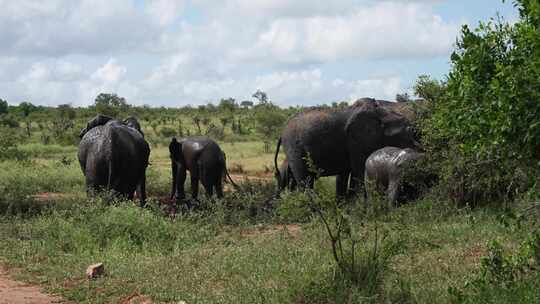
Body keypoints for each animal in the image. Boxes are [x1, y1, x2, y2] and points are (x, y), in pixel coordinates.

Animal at [274, 101, 422, 197]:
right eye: (408, 132)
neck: (384, 114)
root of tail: (281, 133)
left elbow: (344, 174)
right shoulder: (357, 140)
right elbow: (358, 171)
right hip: (294, 147)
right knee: (305, 180)